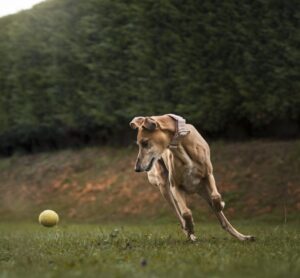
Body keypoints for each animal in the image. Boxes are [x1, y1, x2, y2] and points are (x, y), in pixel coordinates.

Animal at [130, 113, 254, 241]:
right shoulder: (175, 187)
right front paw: (191, 227)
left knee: (223, 220)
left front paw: (220, 204)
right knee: (179, 215)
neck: (181, 145)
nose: (137, 168)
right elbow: (186, 213)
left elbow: (216, 196)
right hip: (165, 188)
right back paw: (189, 232)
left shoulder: (208, 175)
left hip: (203, 190)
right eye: (139, 144)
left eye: (145, 142)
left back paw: (243, 237)